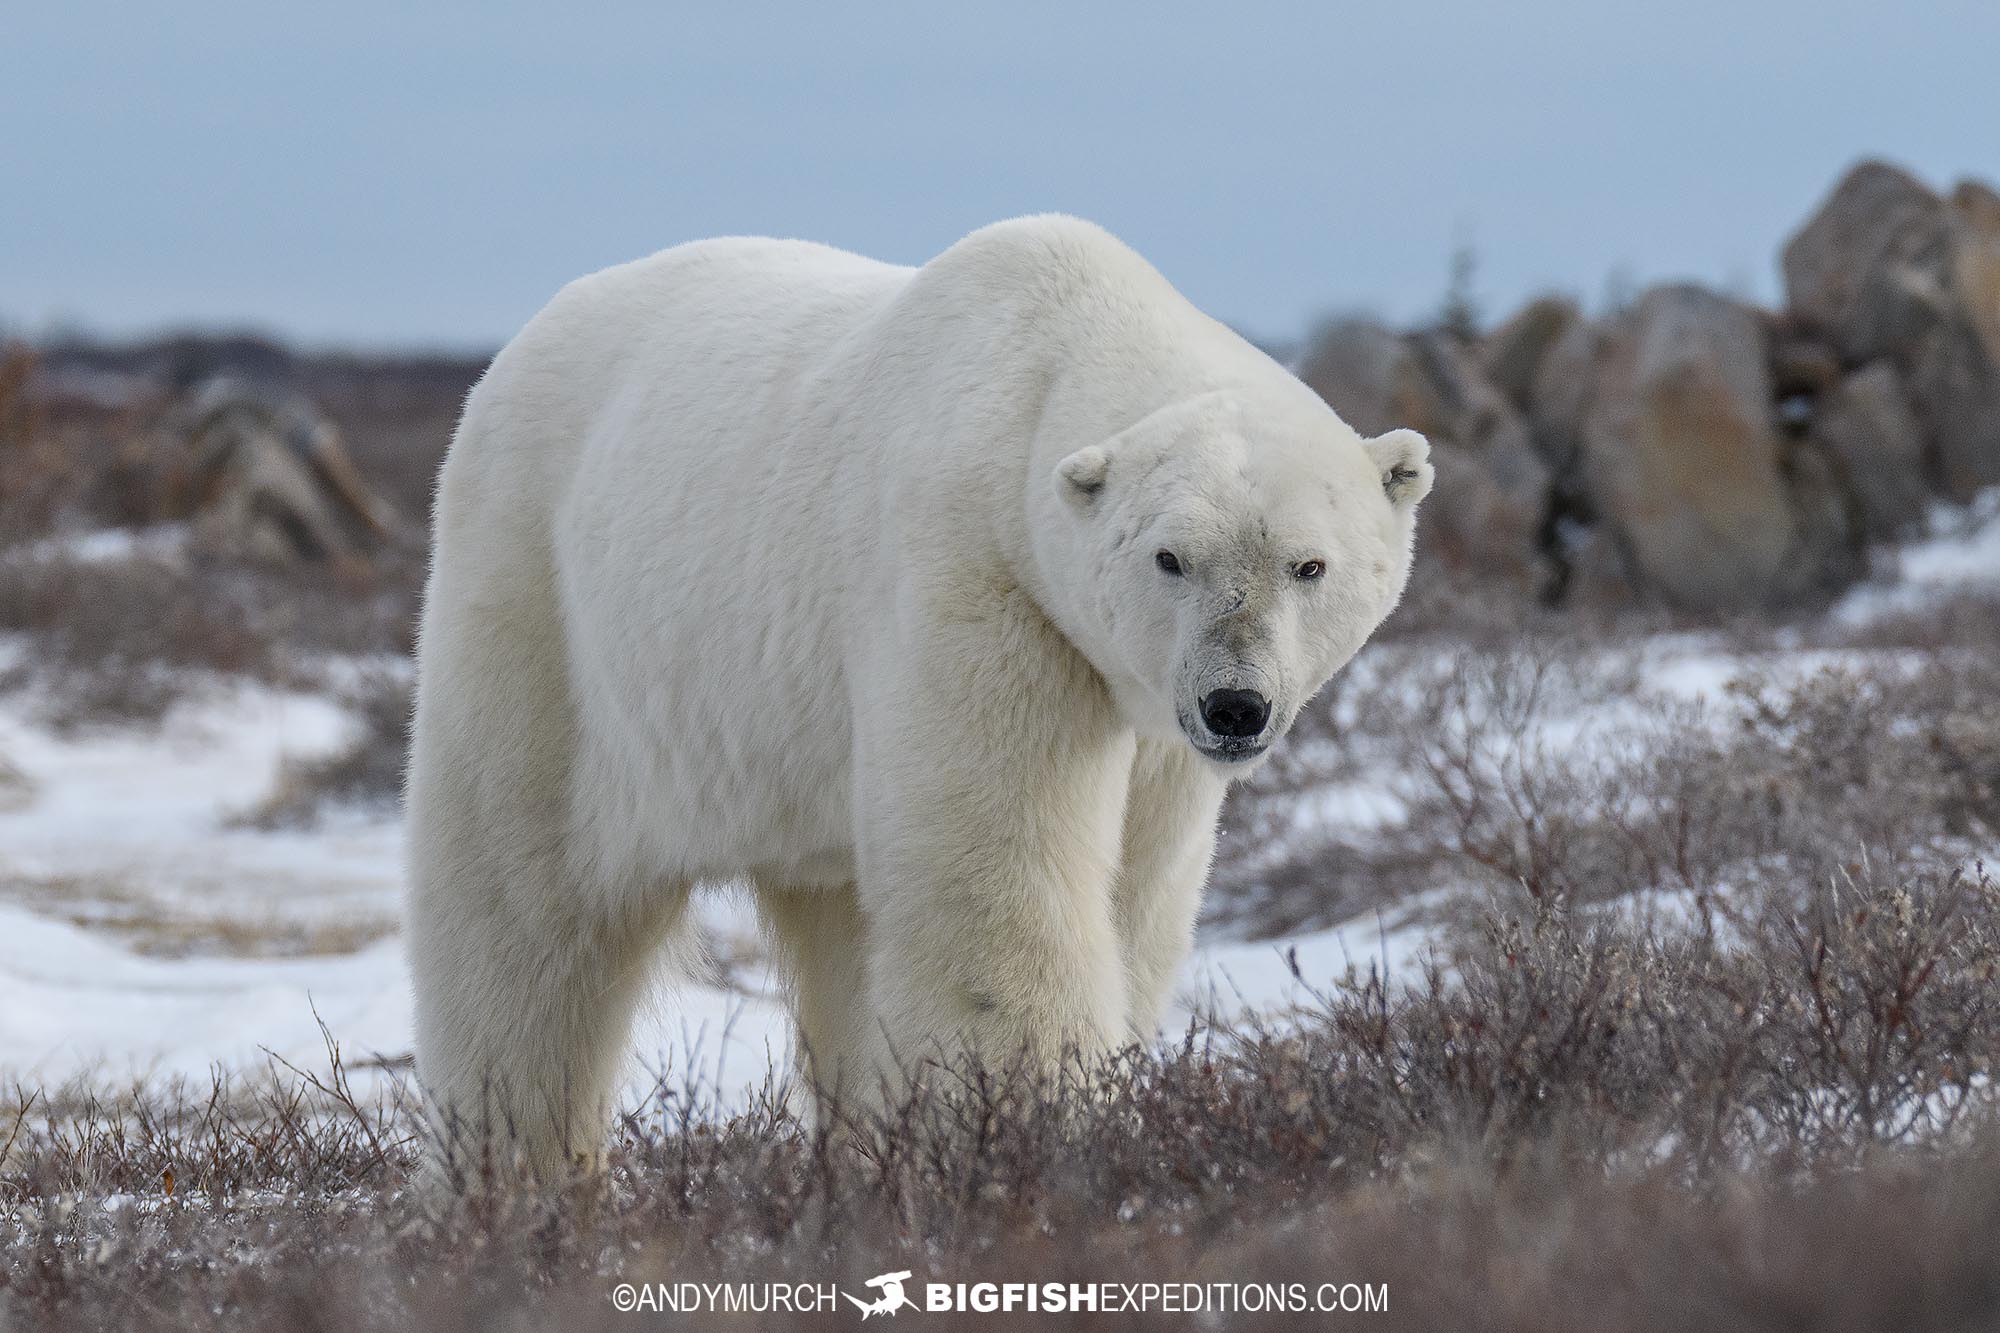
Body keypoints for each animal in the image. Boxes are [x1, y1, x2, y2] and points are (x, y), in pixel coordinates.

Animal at [405, 215, 1432, 1178]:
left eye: (1308, 564)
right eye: (1170, 557)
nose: (1234, 706)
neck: (1046, 359)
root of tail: (511, 356)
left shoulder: (1146, 714)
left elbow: (1139, 890)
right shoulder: (979, 583)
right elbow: (998, 878)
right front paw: (1030, 1130)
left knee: (844, 933)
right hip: (543, 608)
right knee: (521, 916)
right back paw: (511, 1176)